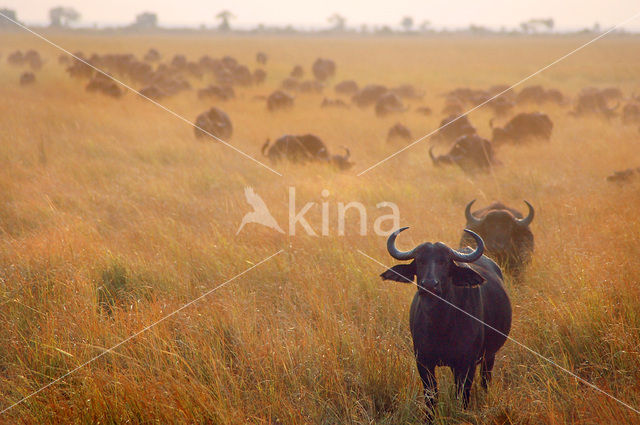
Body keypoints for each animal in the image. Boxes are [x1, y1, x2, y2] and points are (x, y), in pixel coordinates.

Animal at [382, 227, 512, 416]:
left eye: (444, 262)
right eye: (420, 261)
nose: (430, 284)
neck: (441, 324)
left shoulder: (466, 364)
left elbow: (462, 396)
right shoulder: (423, 362)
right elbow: (431, 396)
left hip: (490, 356)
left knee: (485, 379)